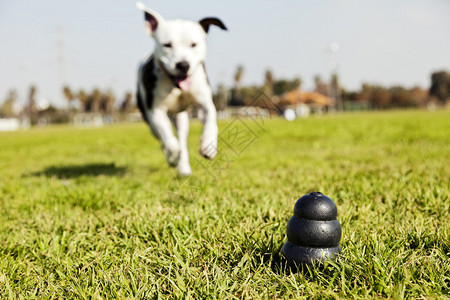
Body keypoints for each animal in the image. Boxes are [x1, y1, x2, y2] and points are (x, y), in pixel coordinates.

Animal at [134, 1, 227, 176]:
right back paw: (173, 158)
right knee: (165, 138)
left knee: (182, 139)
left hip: (182, 118)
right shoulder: (157, 112)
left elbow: (211, 118)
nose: (183, 65)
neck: (174, 86)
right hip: (150, 120)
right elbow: (169, 140)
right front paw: (173, 156)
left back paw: (184, 168)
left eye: (193, 44)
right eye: (167, 45)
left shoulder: (204, 102)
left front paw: (208, 145)